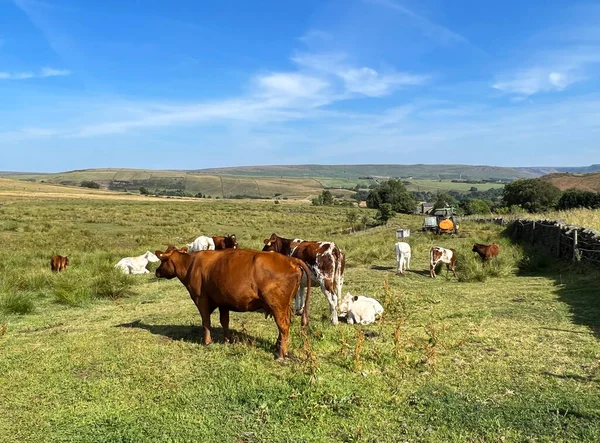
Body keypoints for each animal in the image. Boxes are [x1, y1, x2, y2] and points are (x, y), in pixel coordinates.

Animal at [152, 248, 312, 360]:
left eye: (162, 261)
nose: (157, 271)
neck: (191, 264)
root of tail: (290, 260)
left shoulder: (200, 298)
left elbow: (206, 322)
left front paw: (207, 341)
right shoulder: (223, 301)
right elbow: (225, 322)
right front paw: (227, 340)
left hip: (277, 305)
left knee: (283, 326)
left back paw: (280, 354)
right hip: (285, 306)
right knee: (284, 326)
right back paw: (277, 347)